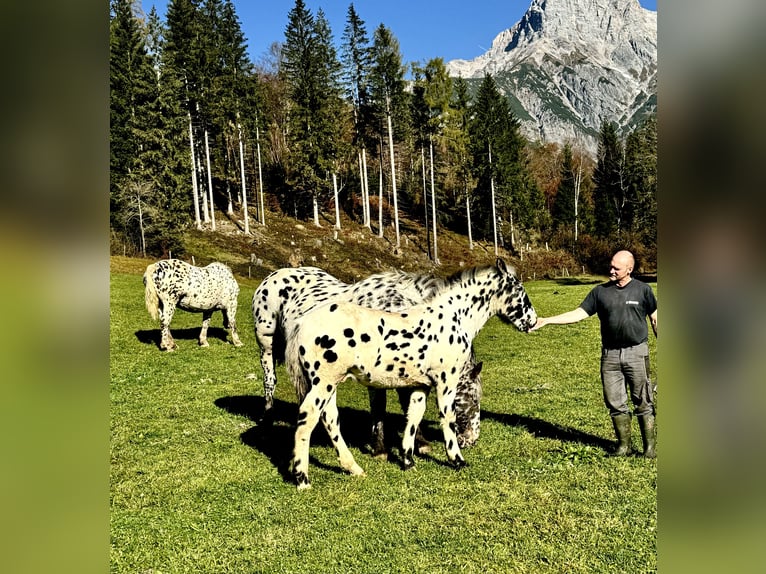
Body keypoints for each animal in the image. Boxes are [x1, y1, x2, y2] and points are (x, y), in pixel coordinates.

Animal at [252, 266, 484, 460]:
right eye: (473, 398)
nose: (472, 439)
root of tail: (274, 275)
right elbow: (380, 407)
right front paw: (380, 448)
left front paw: (419, 442)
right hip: (267, 345)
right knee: (270, 382)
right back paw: (267, 423)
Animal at [288, 260, 540, 490]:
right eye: (520, 291)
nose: (532, 321)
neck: (452, 316)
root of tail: (302, 324)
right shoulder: (446, 382)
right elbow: (447, 418)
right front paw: (457, 460)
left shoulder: (421, 385)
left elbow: (413, 417)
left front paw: (408, 461)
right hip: (324, 383)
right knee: (308, 417)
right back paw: (303, 479)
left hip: (329, 385)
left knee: (330, 419)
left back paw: (354, 468)